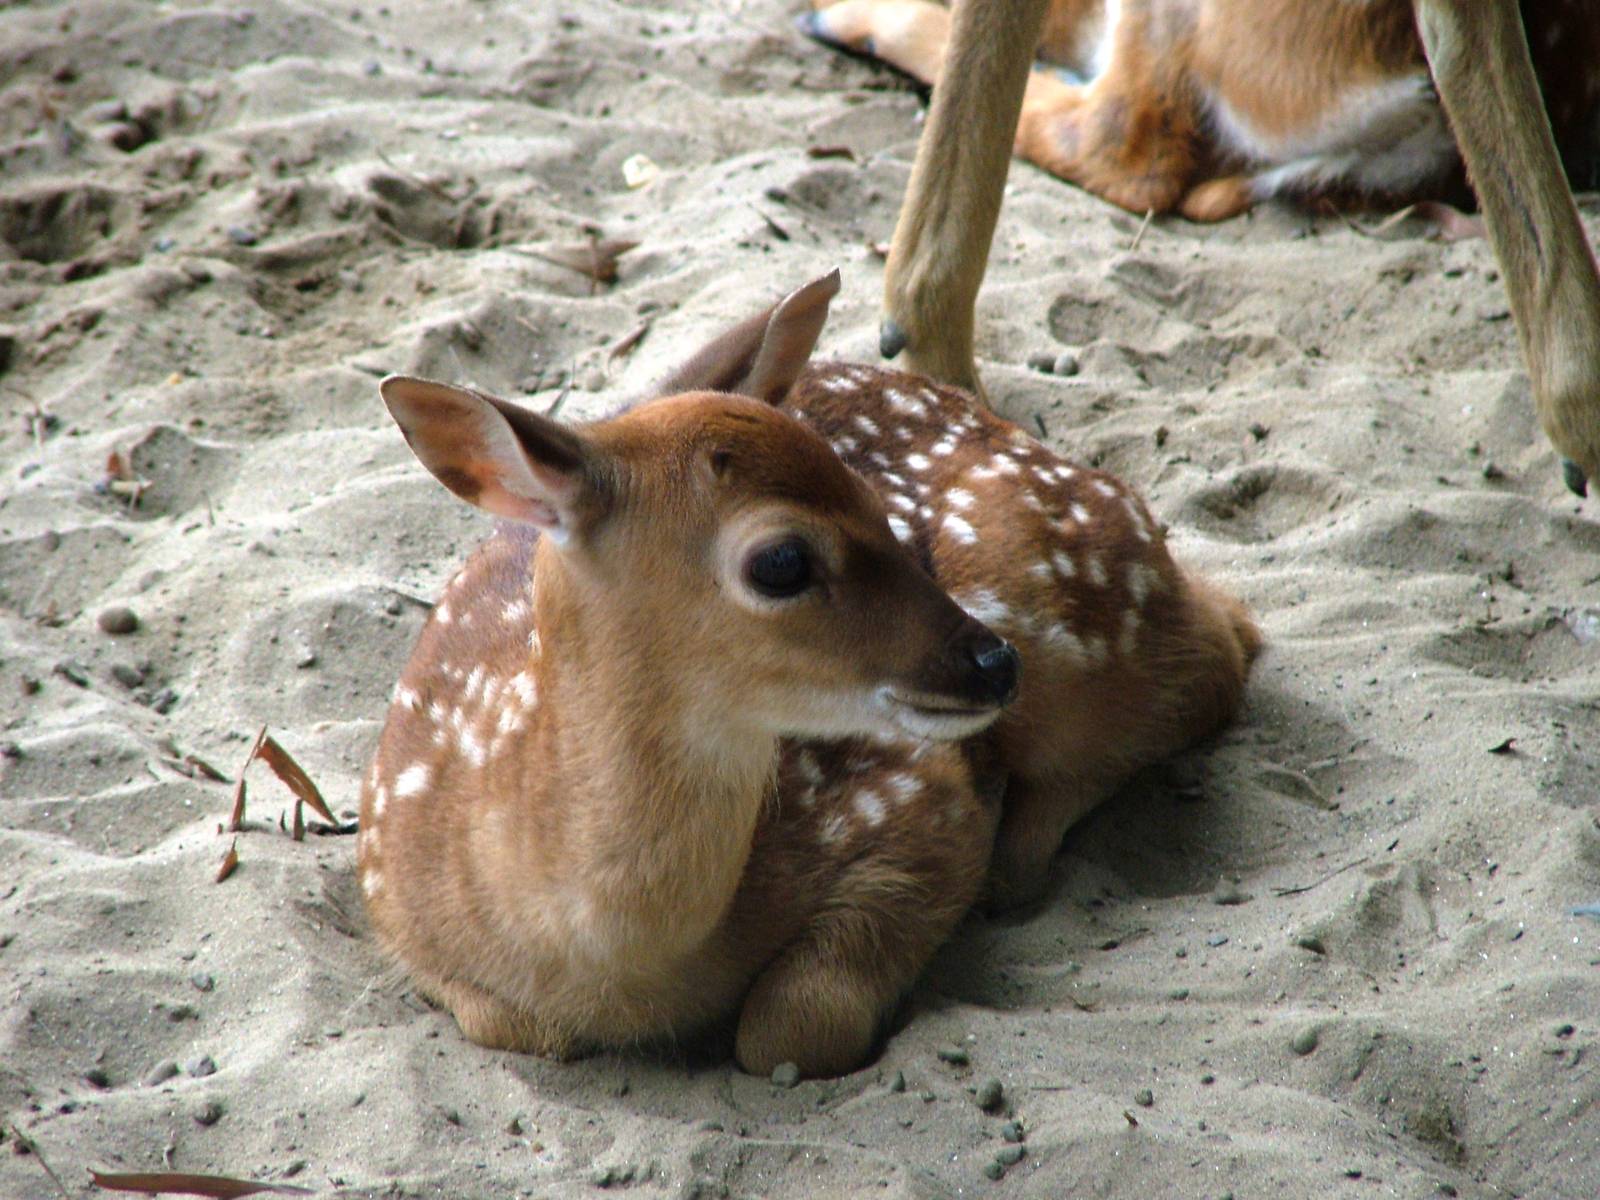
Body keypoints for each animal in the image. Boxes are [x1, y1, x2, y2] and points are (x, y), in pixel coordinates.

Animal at [357, 269, 1260, 1078]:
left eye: (875, 502)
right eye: (782, 561)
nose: (993, 662)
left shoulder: (914, 802)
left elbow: (789, 1028)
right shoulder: (395, 904)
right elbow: (519, 1026)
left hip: (1068, 604)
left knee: (1220, 651)